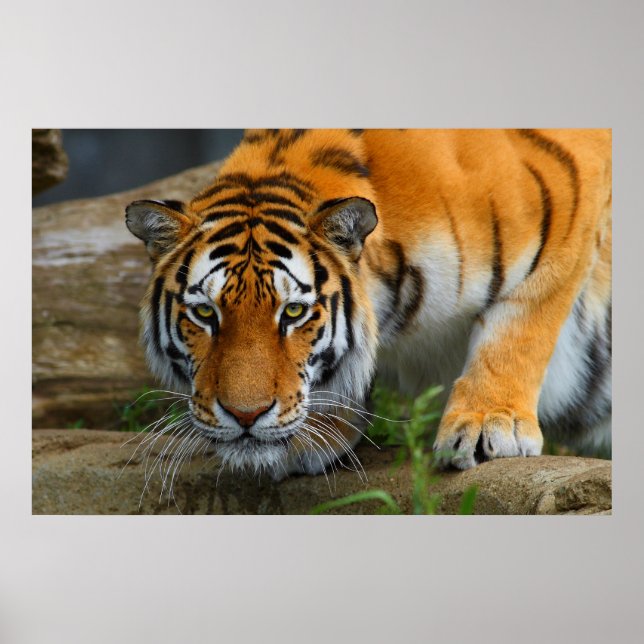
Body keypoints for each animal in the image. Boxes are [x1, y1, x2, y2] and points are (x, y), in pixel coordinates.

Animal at [125, 128, 611, 477]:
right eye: (205, 313)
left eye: (293, 312)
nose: (246, 416)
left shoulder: (567, 206)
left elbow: (520, 328)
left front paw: (489, 425)